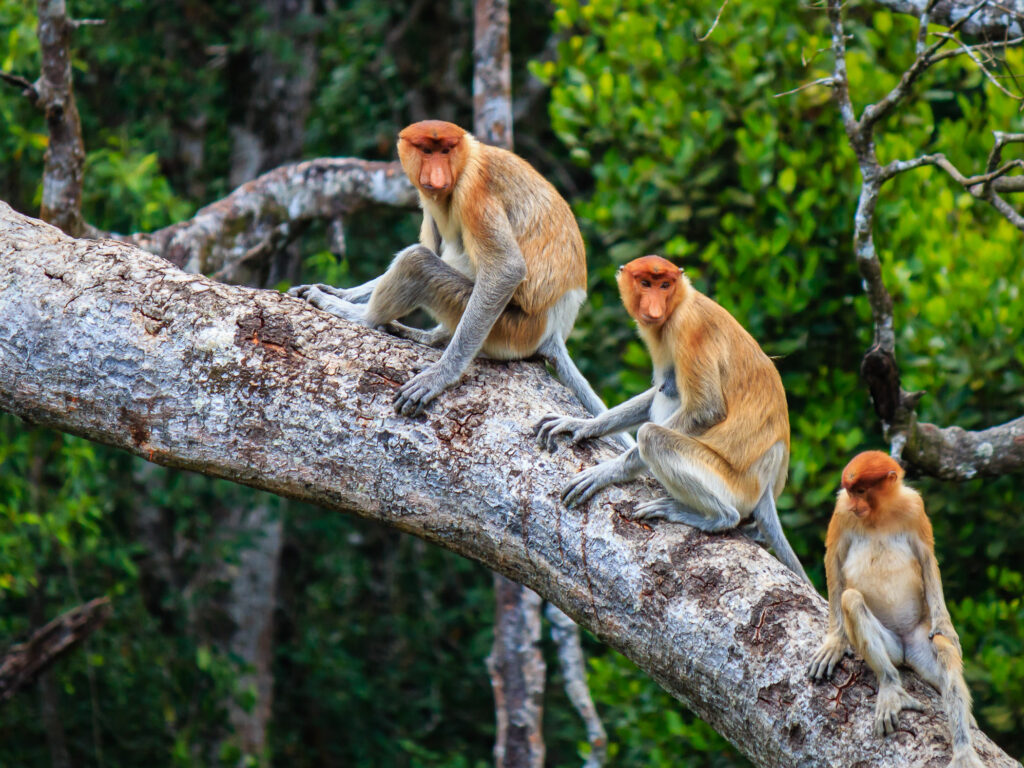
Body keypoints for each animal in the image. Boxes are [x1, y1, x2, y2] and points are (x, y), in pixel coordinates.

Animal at [289, 120, 627, 441]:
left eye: (445, 150)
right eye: (427, 151)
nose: (438, 176)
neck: (466, 159)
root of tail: (554, 329)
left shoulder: (472, 190)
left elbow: (505, 269)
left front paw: (438, 376)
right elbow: (433, 243)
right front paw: (338, 291)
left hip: (511, 329)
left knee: (418, 262)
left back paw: (361, 317)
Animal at [534, 255, 808, 582]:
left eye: (665, 285)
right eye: (645, 283)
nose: (655, 308)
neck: (681, 302)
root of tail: (766, 485)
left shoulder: (687, 328)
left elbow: (706, 409)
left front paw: (608, 472)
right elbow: (658, 389)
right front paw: (582, 425)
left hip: (731, 482)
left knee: (653, 435)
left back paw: (714, 517)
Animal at [807, 451, 982, 768]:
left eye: (861, 490)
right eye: (850, 492)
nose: (855, 505)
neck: (879, 513)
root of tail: (904, 647)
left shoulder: (915, 508)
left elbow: (927, 558)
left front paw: (947, 627)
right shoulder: (841, 512)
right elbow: (834, 559)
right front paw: (834, 643)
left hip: (919, 641)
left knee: (943, 649)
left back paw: (963, 749)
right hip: (890, 645)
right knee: (851, 600)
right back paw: (890, 689)